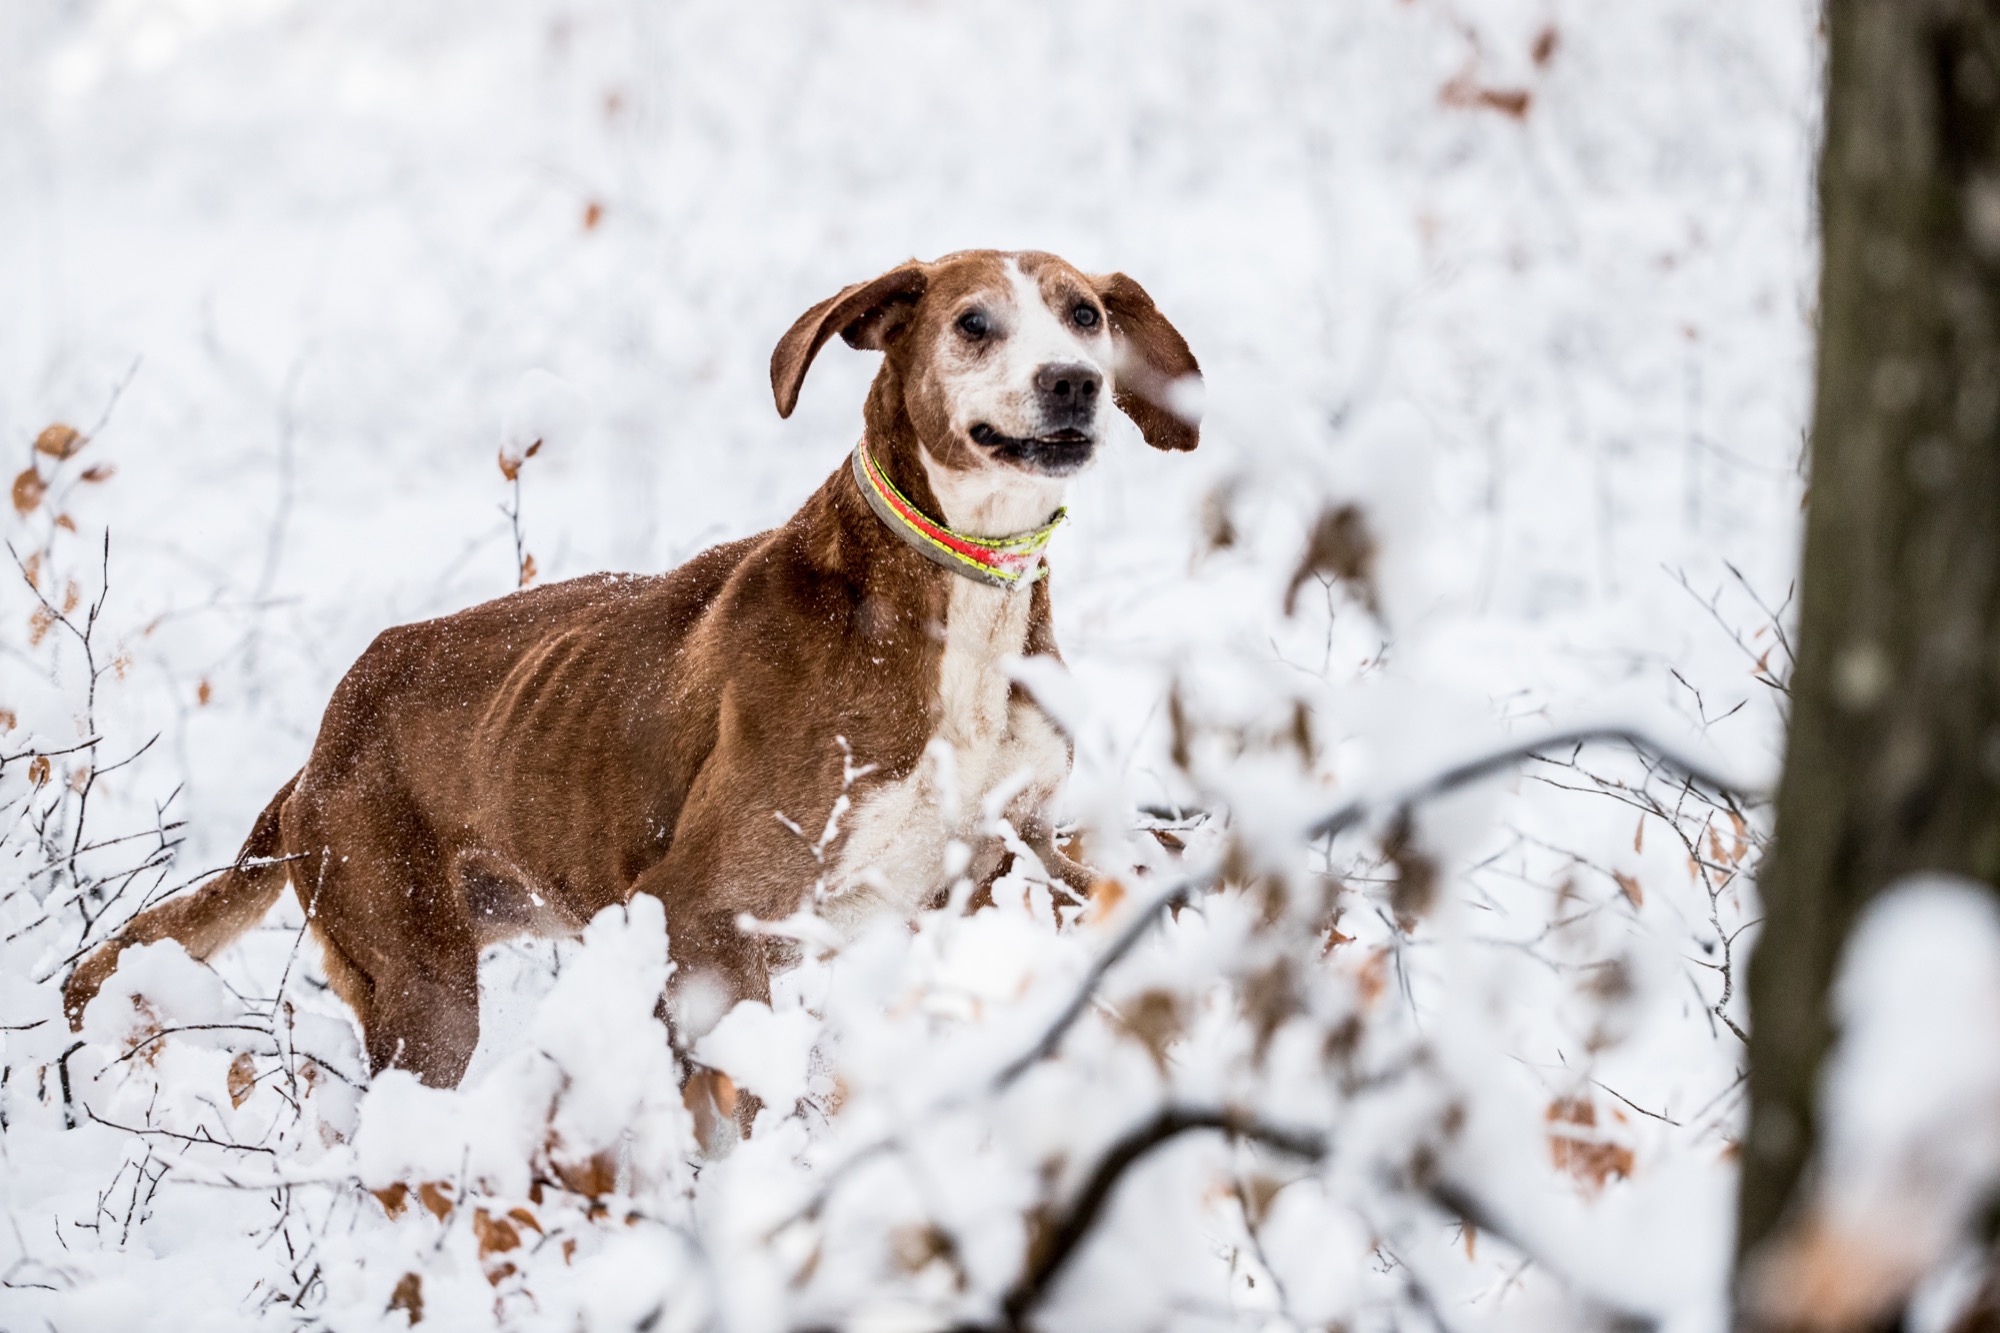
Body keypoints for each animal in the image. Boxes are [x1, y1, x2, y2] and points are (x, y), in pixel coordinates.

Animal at [62, 249, 1200, 1088]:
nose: (1074, 383)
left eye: (1084, 314)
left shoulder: (999, 865)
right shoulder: (703, 918)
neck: (953, 593)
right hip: (421, 990)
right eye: (973, 323)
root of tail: (320, 748)